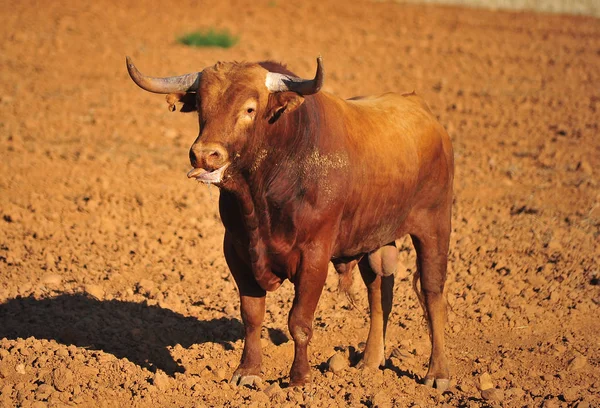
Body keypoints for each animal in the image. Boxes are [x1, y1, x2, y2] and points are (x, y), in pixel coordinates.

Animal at [126, 55, 454, 390]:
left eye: (250, 108)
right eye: (202, 105)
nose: (205, 155)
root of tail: (422, 110)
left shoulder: (314, 257)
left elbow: (299, 321)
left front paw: (299, 379)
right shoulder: (237, 252)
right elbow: (252, 316)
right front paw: (248, 370)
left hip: (435, 224)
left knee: (432, 293)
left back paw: (437, 373)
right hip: (375, 237)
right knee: (380, 291)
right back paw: (370, 361)